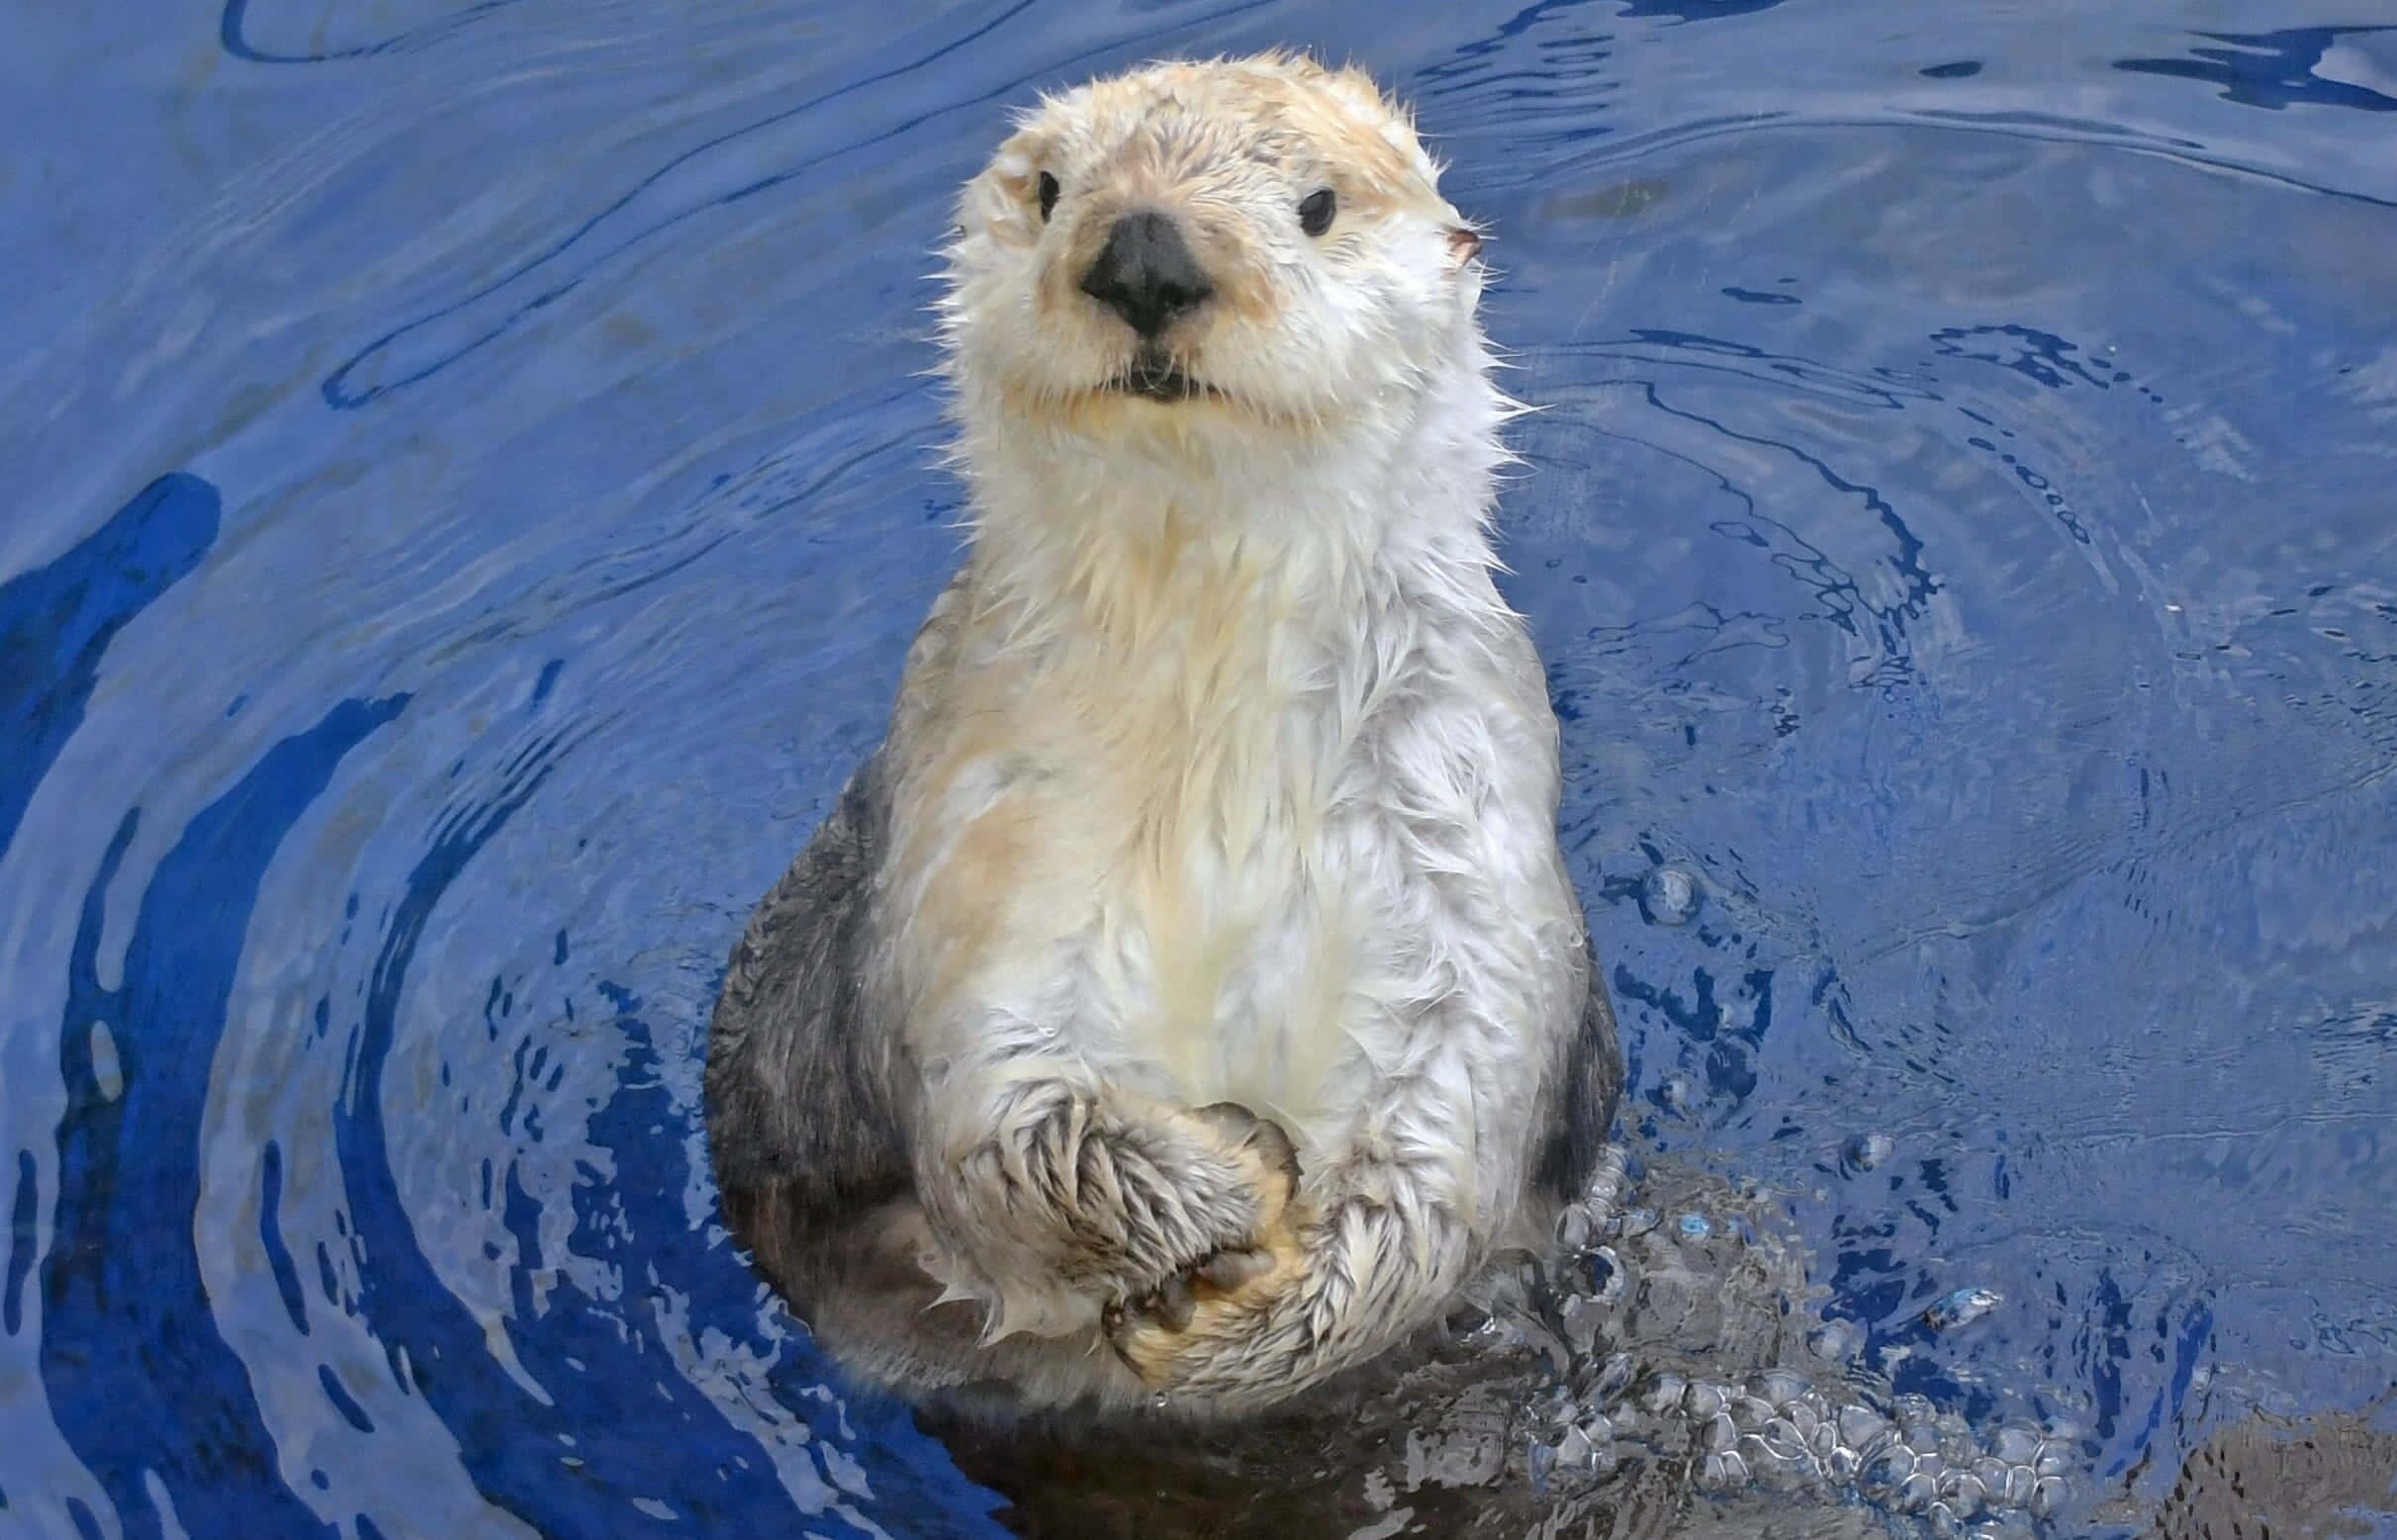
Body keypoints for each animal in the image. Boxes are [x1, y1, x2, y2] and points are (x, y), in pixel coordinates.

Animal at [704, 53, 1620, 1420]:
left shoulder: (1465, 812)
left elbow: (1438, 1135)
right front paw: (1228, 1180)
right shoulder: (975, 812)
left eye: (1316, 205)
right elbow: (1000, 1114)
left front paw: (1248, 1313)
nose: (1142, 250)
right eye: (1047, 189)